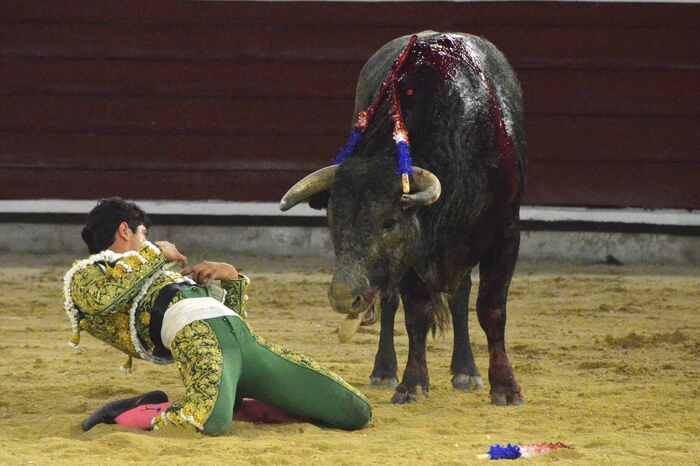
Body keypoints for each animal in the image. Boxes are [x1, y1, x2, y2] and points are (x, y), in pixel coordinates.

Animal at [280, 31, 526, 406]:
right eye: (333, 221)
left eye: (390, 222)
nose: (343, 296)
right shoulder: (411, 254)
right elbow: (415, 315)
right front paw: (412, 383)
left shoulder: (505, 233)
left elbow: (491, 309)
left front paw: (505, 387)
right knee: (391, 301)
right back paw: (384, 370)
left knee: (460, 296)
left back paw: (466, 370)